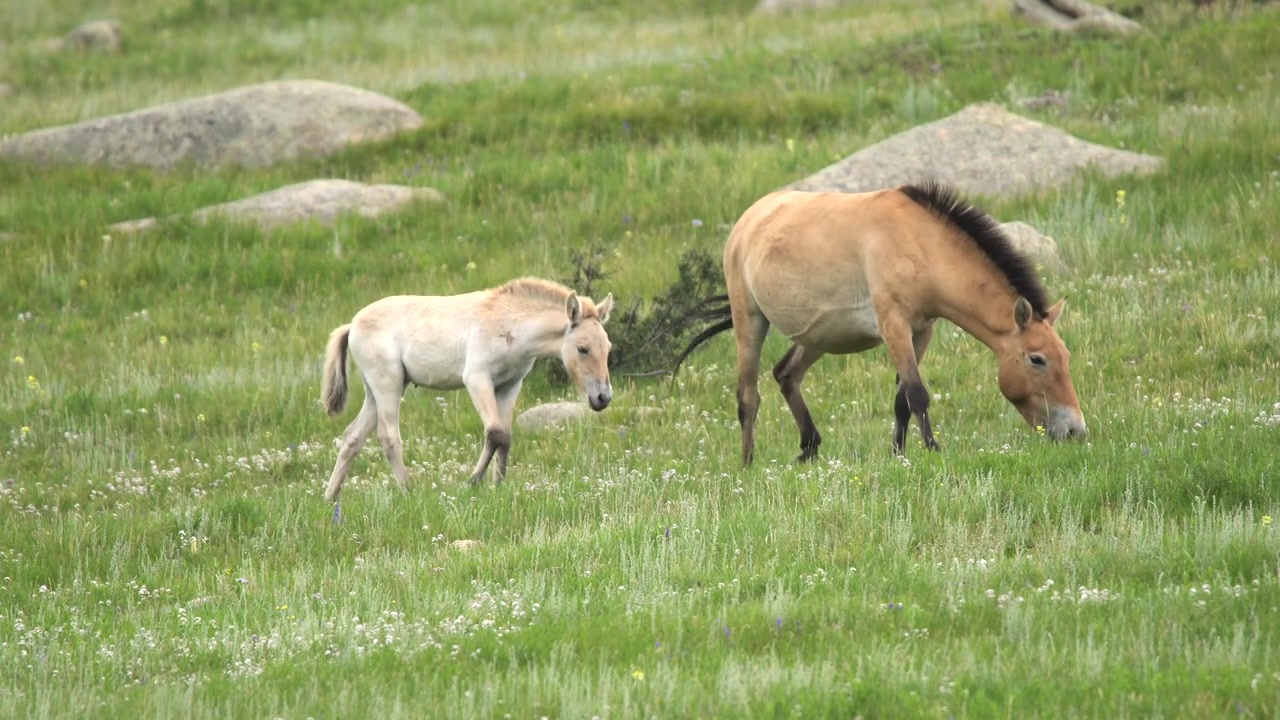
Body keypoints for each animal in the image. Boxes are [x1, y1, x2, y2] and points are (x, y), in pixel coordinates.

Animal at [320, 277, 614, 501]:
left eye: (608, 347)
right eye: (582, 348)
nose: (603, 397)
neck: (510, 324)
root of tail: (352, 325)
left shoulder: (509, 386)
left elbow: (506, 437)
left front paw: (498, 485)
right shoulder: (477, 379)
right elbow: (495, 433)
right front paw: (473, 481)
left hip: (377, 391)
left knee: (352, 437)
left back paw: (330, 497)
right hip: (387, 383)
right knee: (388, 436)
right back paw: (408, 490)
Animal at [674, 181, 1086, 467]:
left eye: (1065, 357)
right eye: (1037, 359)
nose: (1075, 432)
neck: (921, 245)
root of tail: (748, 220)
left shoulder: (921, 330)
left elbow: (902, 400)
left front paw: (898, 454)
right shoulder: (894, 326)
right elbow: (918, 393)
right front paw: (933, 449)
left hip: (816, 336)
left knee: (786, 374)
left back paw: (809, 447)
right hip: (750, 321)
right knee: (748, 396)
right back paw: (747, 464)